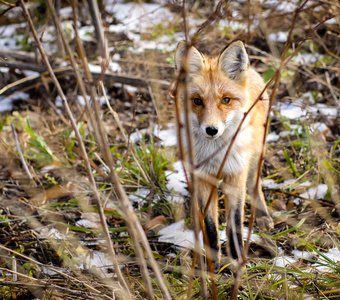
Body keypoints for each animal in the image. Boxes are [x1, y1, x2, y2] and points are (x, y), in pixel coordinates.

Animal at [173, 39, 274, 268]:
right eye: (197, 101)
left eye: (226, 100)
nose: (211, 130)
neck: (216, 156)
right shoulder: (202, 178)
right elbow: (210, 226)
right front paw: (213, 261)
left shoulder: (236, 176)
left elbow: (234, 224)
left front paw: (236, 261)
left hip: (255, 157)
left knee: (255, 186)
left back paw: (262, 215)